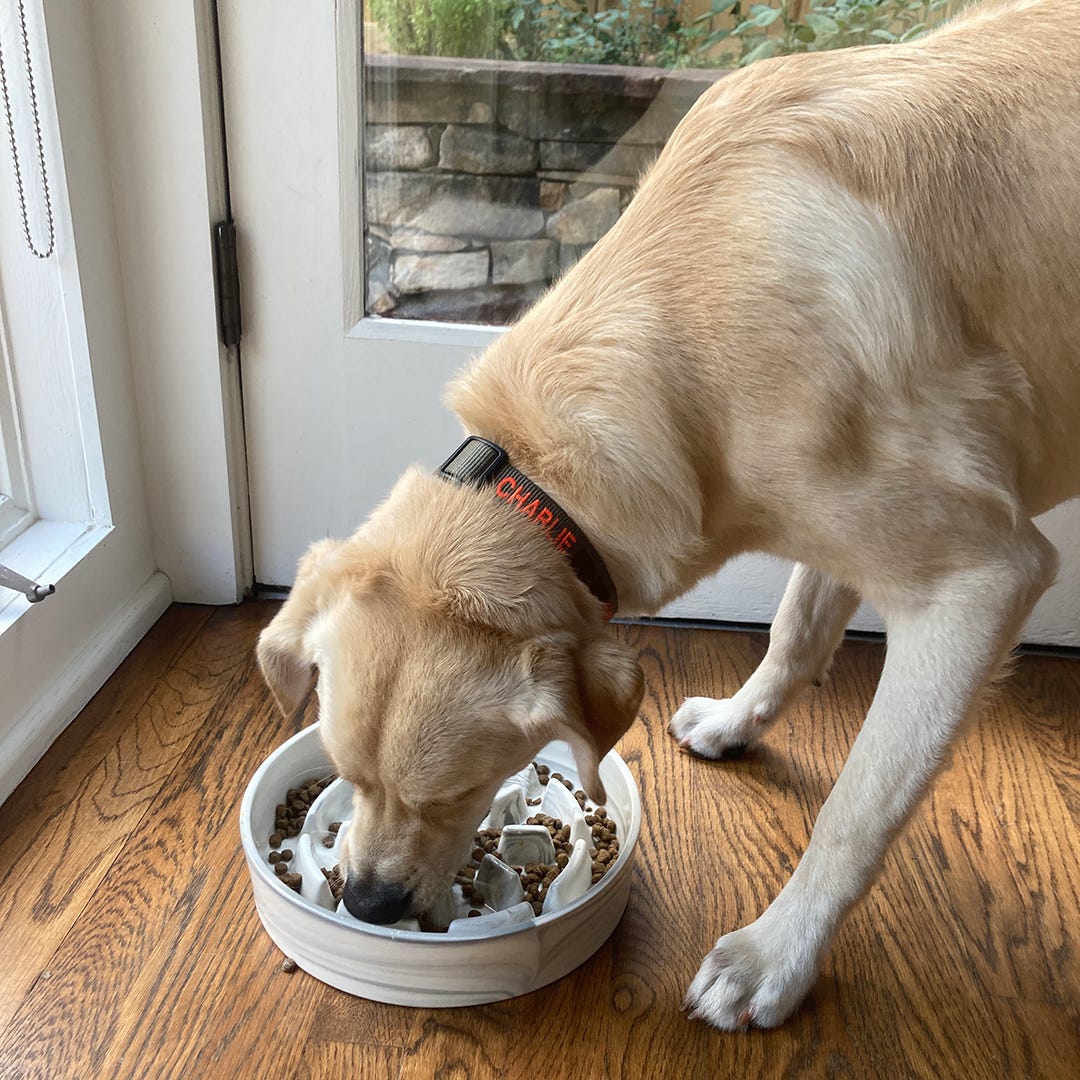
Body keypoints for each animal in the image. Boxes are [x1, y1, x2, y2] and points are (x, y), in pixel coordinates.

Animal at [261, 0, 1080, 1028]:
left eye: (453, 794)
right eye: (345, 772)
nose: (365, 905)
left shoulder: (981, 579)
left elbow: (855, 809)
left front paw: (774, 956)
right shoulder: (837, 524)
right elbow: (794, 628)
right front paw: (739, 718)